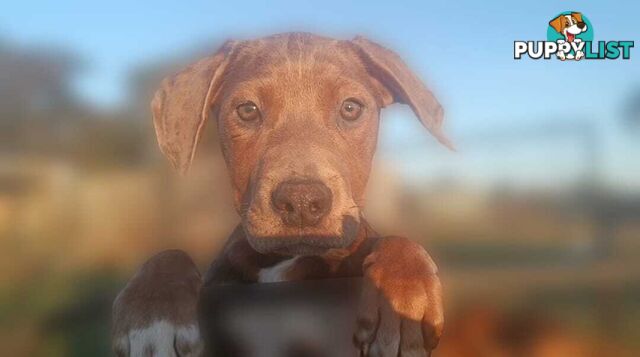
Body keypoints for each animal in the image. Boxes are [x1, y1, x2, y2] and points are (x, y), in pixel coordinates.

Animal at [111, 32, 450, 354]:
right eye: (247, 110)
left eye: (351, 108)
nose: (301, 200)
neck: (286, 259)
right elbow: (169, 254)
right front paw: (152, 316)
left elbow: (398, 242)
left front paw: (405, 302)